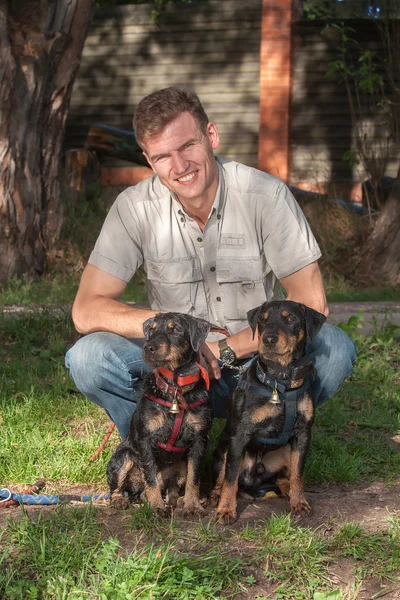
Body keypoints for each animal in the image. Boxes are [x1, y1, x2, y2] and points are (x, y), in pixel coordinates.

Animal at [105, 312, 212, 512]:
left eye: (176, 329)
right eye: (152, 329)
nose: (149, 347)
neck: (175, 389)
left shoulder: (199, 440)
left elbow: (194, 477)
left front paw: (192, 506)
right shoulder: (145, 439)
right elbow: (150, 475)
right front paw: (156, 507)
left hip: (179, 468)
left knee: (173, 488)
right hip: (122, 457)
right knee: (118, 487)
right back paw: (121, 500)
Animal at [211, 300, 326, 524]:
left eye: (290, 319)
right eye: (262, 321)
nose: (268, 339)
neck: (280, 381)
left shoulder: (303, 433)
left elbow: (298, 473)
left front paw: (300, 503)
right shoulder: (240, 435)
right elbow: (230, 477)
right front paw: (226, 510)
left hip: (284, 453)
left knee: (283, 477)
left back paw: (288, 490)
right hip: (224, 448)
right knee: (224, 475)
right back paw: (215, 496)